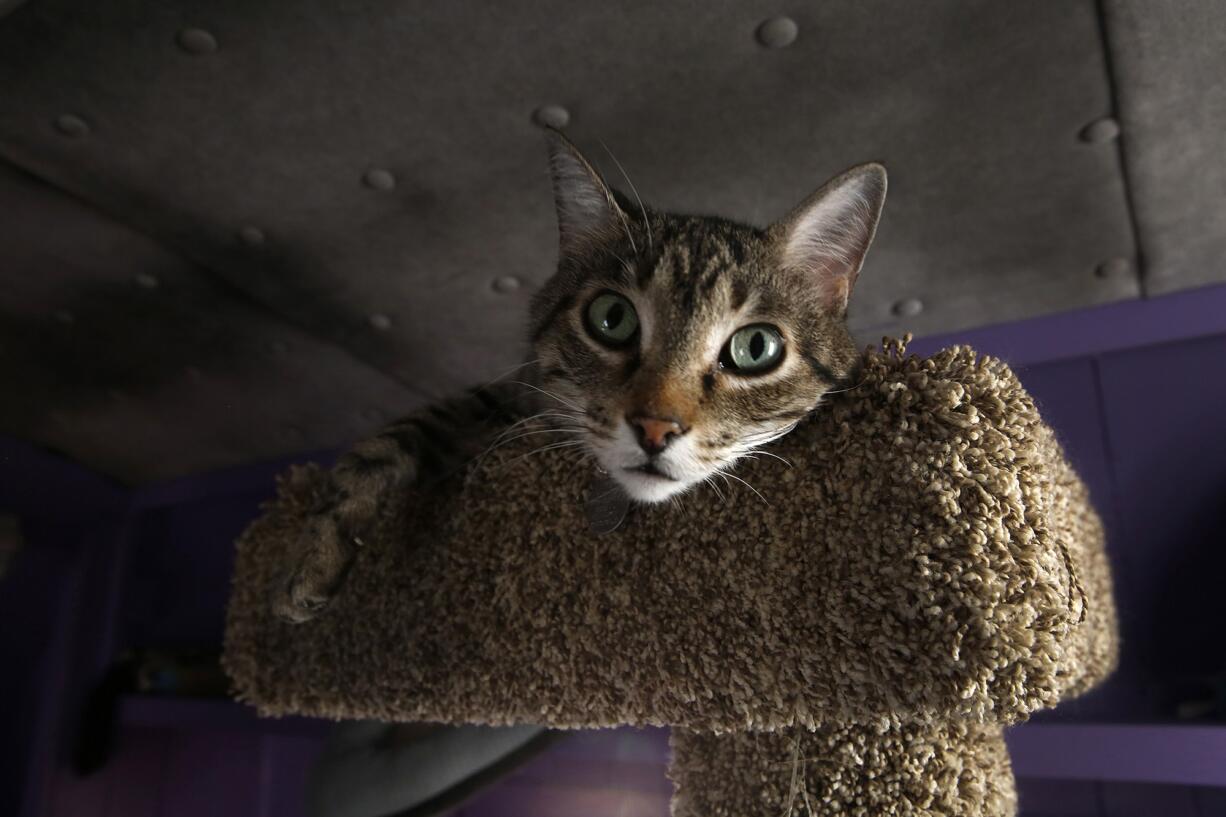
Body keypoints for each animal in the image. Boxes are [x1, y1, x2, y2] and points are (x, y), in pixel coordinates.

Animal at [277, 130, 887, 620]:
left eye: (755, 348)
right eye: (611, 319)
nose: (655, 429)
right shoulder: (510, 391)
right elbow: (390, 439)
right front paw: (315, 551)